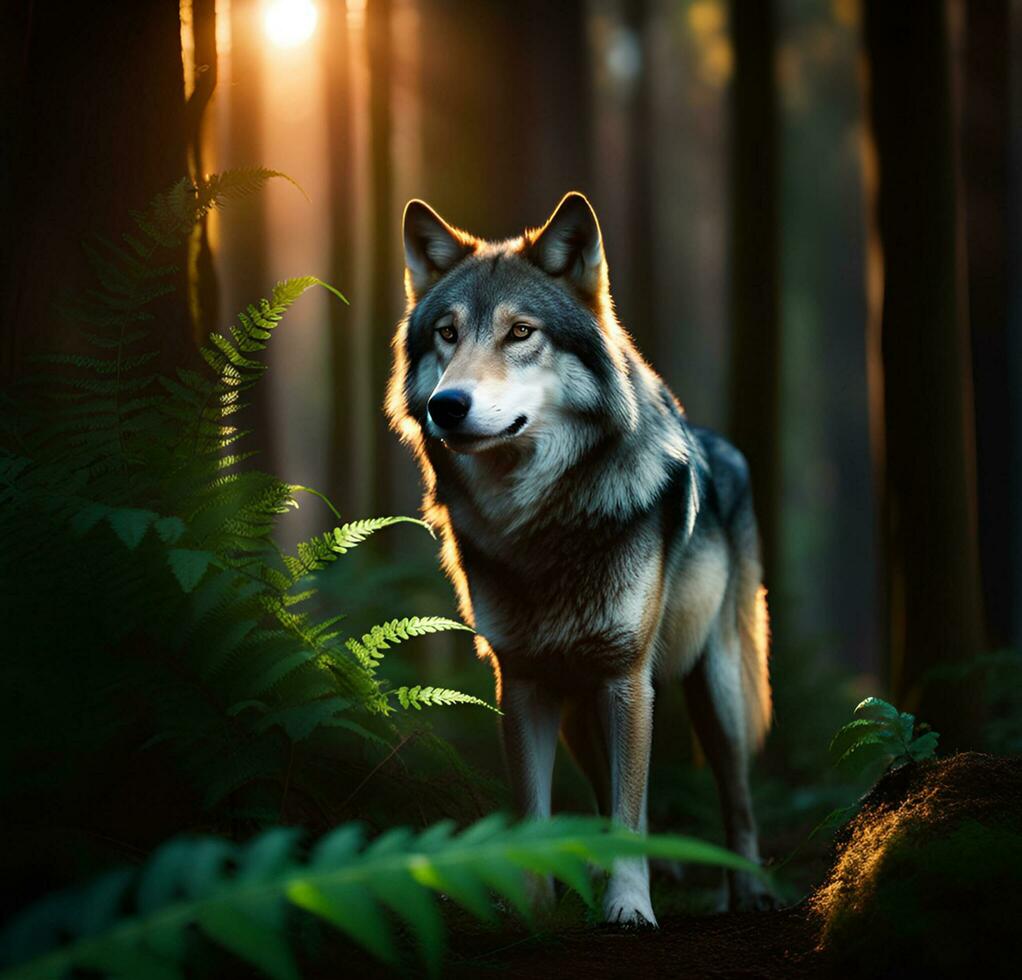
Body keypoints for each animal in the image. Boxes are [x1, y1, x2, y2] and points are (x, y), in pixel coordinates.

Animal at [386, 193, 768, 927]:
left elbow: (631, 810)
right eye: (447, 333)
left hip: (715, 690)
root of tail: (724, 445)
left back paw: (753, 892)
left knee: (736, 797)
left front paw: (630, 908)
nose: (448, 405)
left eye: (520, 332)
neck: (540, 525)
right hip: (577, 714)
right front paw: (534, 911)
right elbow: (537, 812)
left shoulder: (627, 678)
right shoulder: (521, 683)